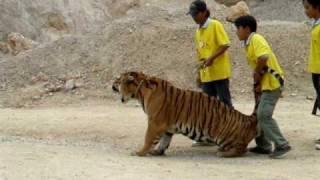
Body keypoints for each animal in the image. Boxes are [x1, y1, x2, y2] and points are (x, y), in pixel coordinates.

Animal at [112, 71, 258, 157]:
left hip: (223, 136)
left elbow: (148, 138)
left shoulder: (155, 122)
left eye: (118, 80)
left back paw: (223, 153)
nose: (112, 84)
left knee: (242, 148)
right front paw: (157, 151)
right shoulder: (166, 127)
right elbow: (164, 140)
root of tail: (247, 118)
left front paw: (140, 152)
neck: (139, 92)